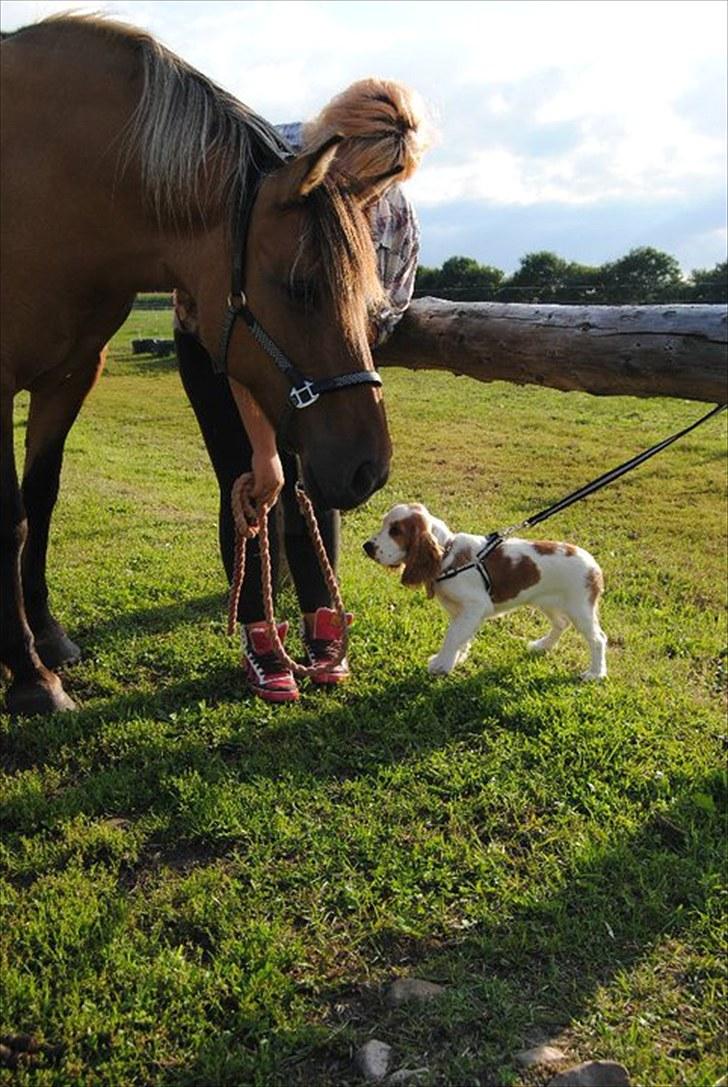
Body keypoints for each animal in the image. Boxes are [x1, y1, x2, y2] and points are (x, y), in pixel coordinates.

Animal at [0, 16, 393, 717]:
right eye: (300, 286)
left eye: (371, 299)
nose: (368, 469)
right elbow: (10, 518)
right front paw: (30, 675)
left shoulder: (71, 377)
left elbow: (39, 501)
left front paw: (45, 639)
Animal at [365, 502, 608, 678]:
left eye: (396, 531)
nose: (366, 546)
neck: (448, 555)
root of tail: (594, 565)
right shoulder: (463, 612)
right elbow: (462, 637)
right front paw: (457, 658)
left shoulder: (475, 606)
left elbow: (452, 636)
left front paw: (442, 664)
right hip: (548, 601)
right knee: (561, 623)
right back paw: (542, 645)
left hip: (580, 609)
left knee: (598, 639)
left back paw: (595, 674)